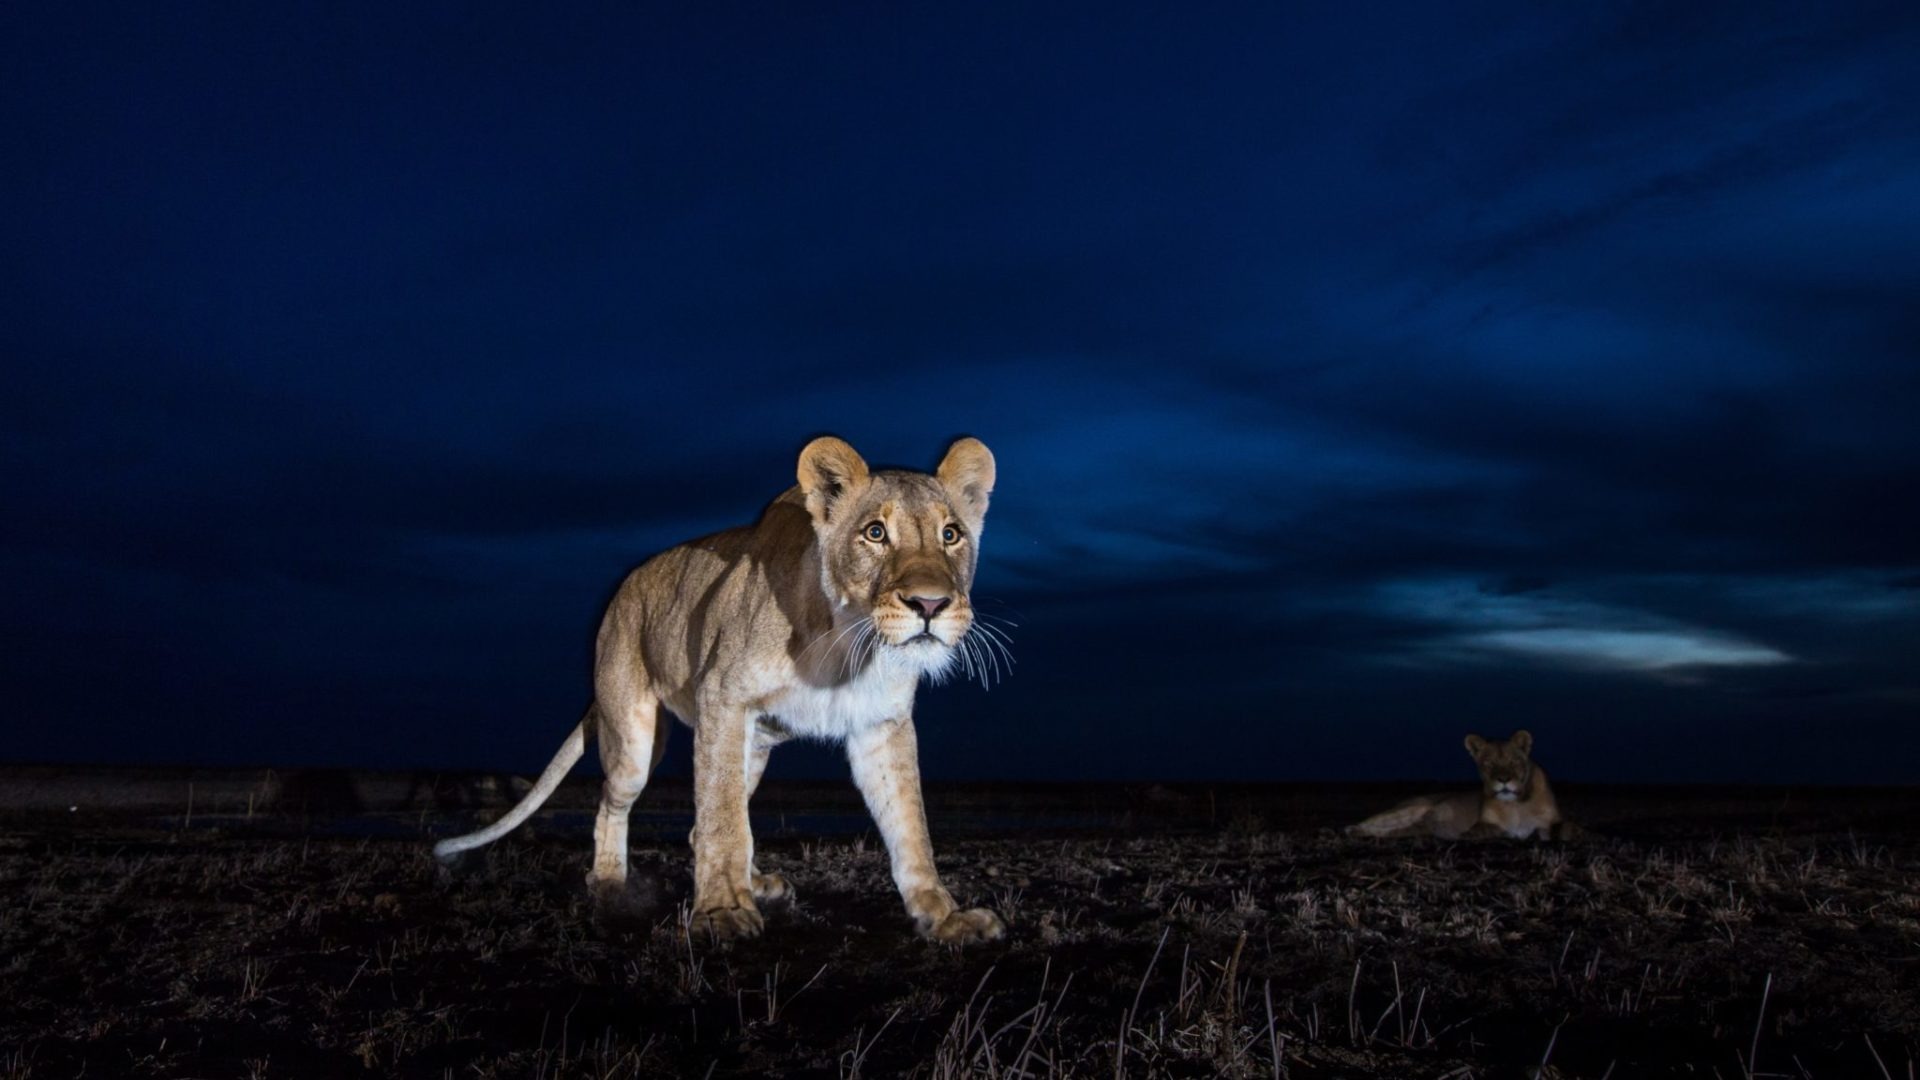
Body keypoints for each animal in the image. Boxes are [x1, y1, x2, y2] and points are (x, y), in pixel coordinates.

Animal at [433, 436, 1006, 945]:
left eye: (951, 534)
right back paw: (613, 883)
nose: (930, 604)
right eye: (875, 532)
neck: (848, 649)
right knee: (614, 804)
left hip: (754, 746)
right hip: (634, 736)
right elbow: (724, 822)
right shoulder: (722, 699)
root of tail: (620, 593)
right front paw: (724, 912)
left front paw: (946, 918)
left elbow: (911, 829)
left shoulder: (881, 726)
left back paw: (758, 885)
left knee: (703, 820)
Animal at [1347, 730, 1566, 840]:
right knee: (1379, 824)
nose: (1503, 780)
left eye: (1514, 762)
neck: (1514, 805)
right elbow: (1488, 831)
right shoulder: (1482, 824)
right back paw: (1353, 830)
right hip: (1407, 810)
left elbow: (1555, 831)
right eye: (1488, 763)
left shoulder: (1552, 822)